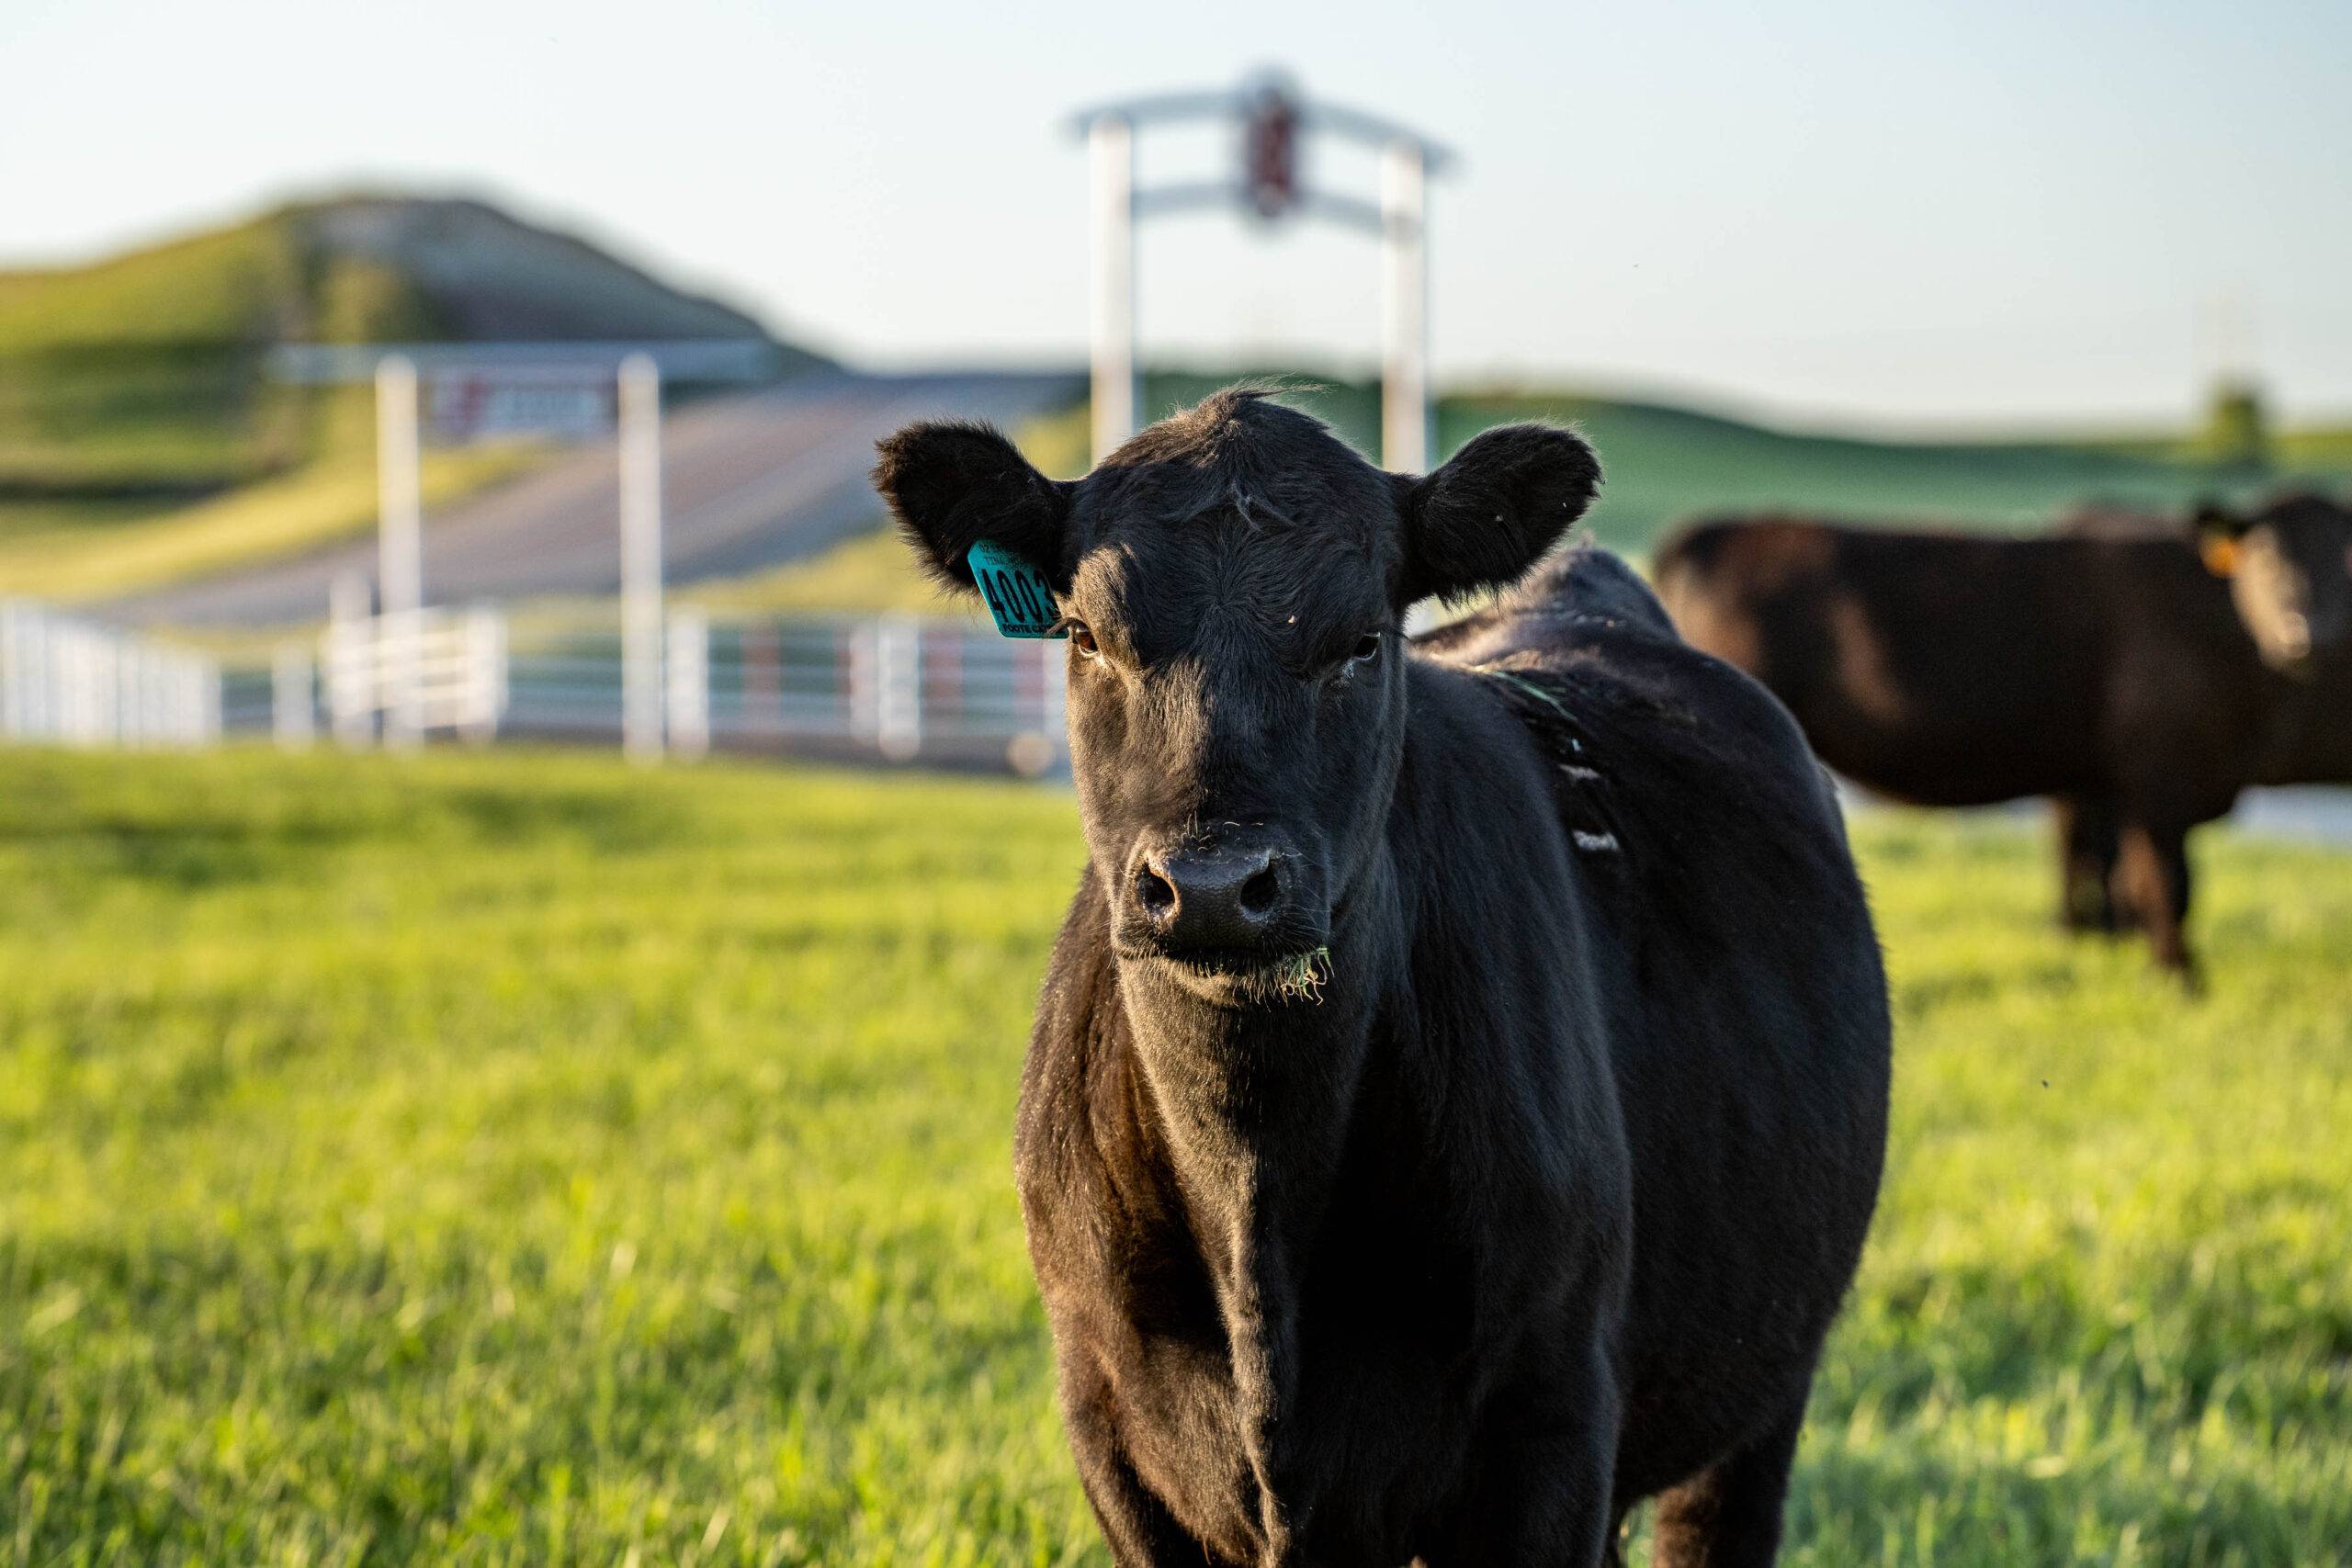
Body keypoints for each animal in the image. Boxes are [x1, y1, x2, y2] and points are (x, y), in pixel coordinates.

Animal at [875, 389, 1882, 1568]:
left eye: (1362, 641)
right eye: (1084, 634)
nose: (1212, 885)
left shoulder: (1549, 1427)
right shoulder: (1113, 1434)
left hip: (1762, 1391)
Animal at [1646, 493, 2352, 982]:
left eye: (2346, 559)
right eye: (2266, 555)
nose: (2311, 633)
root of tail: (1713, 529)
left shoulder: (2106, 783)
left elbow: (2110, 875)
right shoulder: (2155, 784)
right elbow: (2164, 886)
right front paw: (2179, 981)